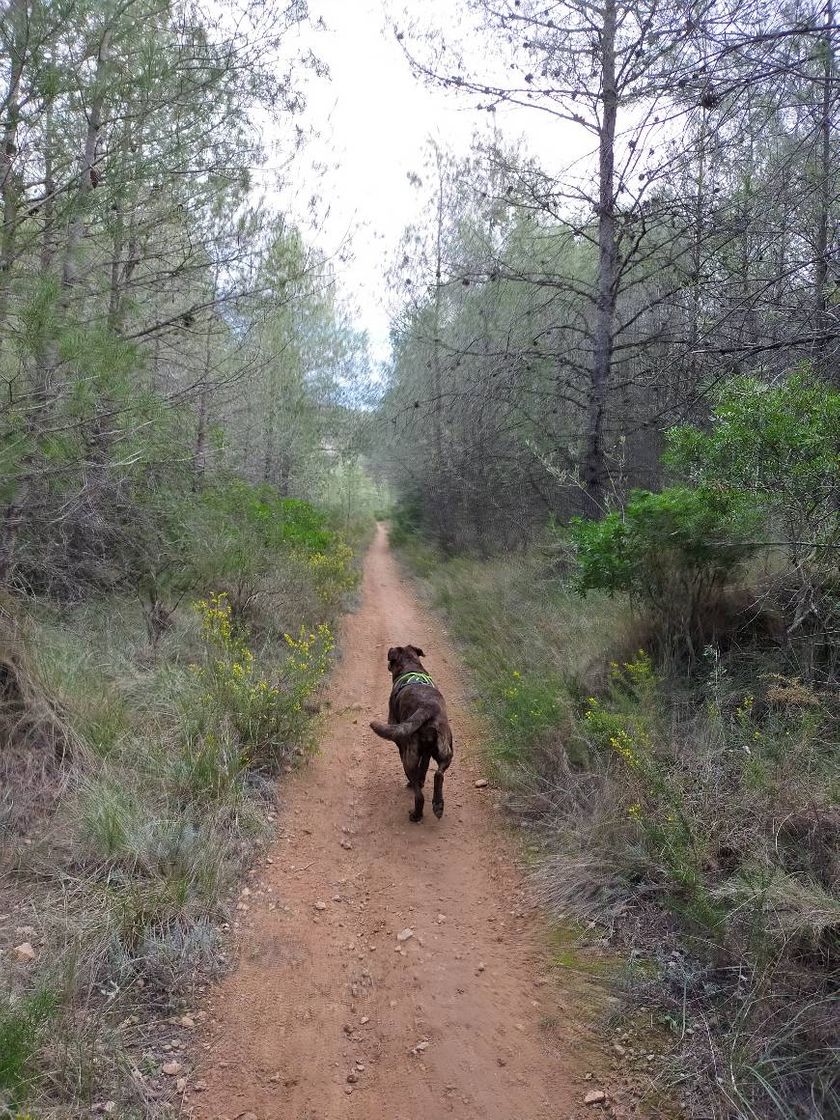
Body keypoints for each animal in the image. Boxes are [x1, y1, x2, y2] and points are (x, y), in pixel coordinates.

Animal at [371, 649, 456, 824]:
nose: (387, 664)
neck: (410, 665)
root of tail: (427, 707)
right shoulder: (427, 752)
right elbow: (424, 766)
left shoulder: (399, 739)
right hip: (446, 750)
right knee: (438, 774)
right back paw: (438, 804)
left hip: (408, 758)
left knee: (419, 794)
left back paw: (416, 814)